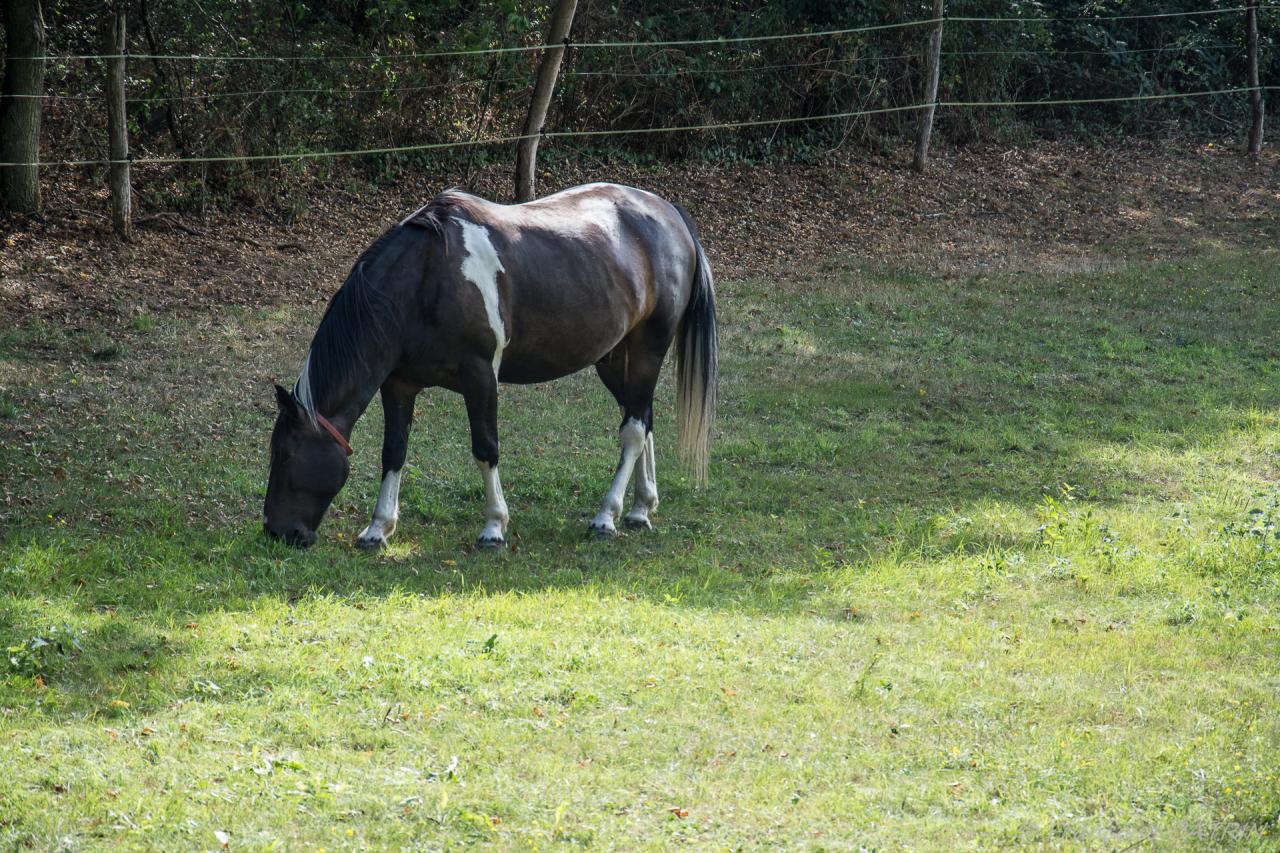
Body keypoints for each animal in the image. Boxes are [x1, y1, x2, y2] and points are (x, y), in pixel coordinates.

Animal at [263, 183, 716, 548]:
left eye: (284, 456)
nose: (277, 532)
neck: (424, 279)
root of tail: (668, 212)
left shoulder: (480, 376)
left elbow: (486, 448)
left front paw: (494, 527)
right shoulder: (399, 385)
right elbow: (394, 452)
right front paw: (378, 529)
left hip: (647, 351)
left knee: (634, 430)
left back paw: (608, 516)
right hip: (613, 359)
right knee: (641, 418)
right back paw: (641, 508)